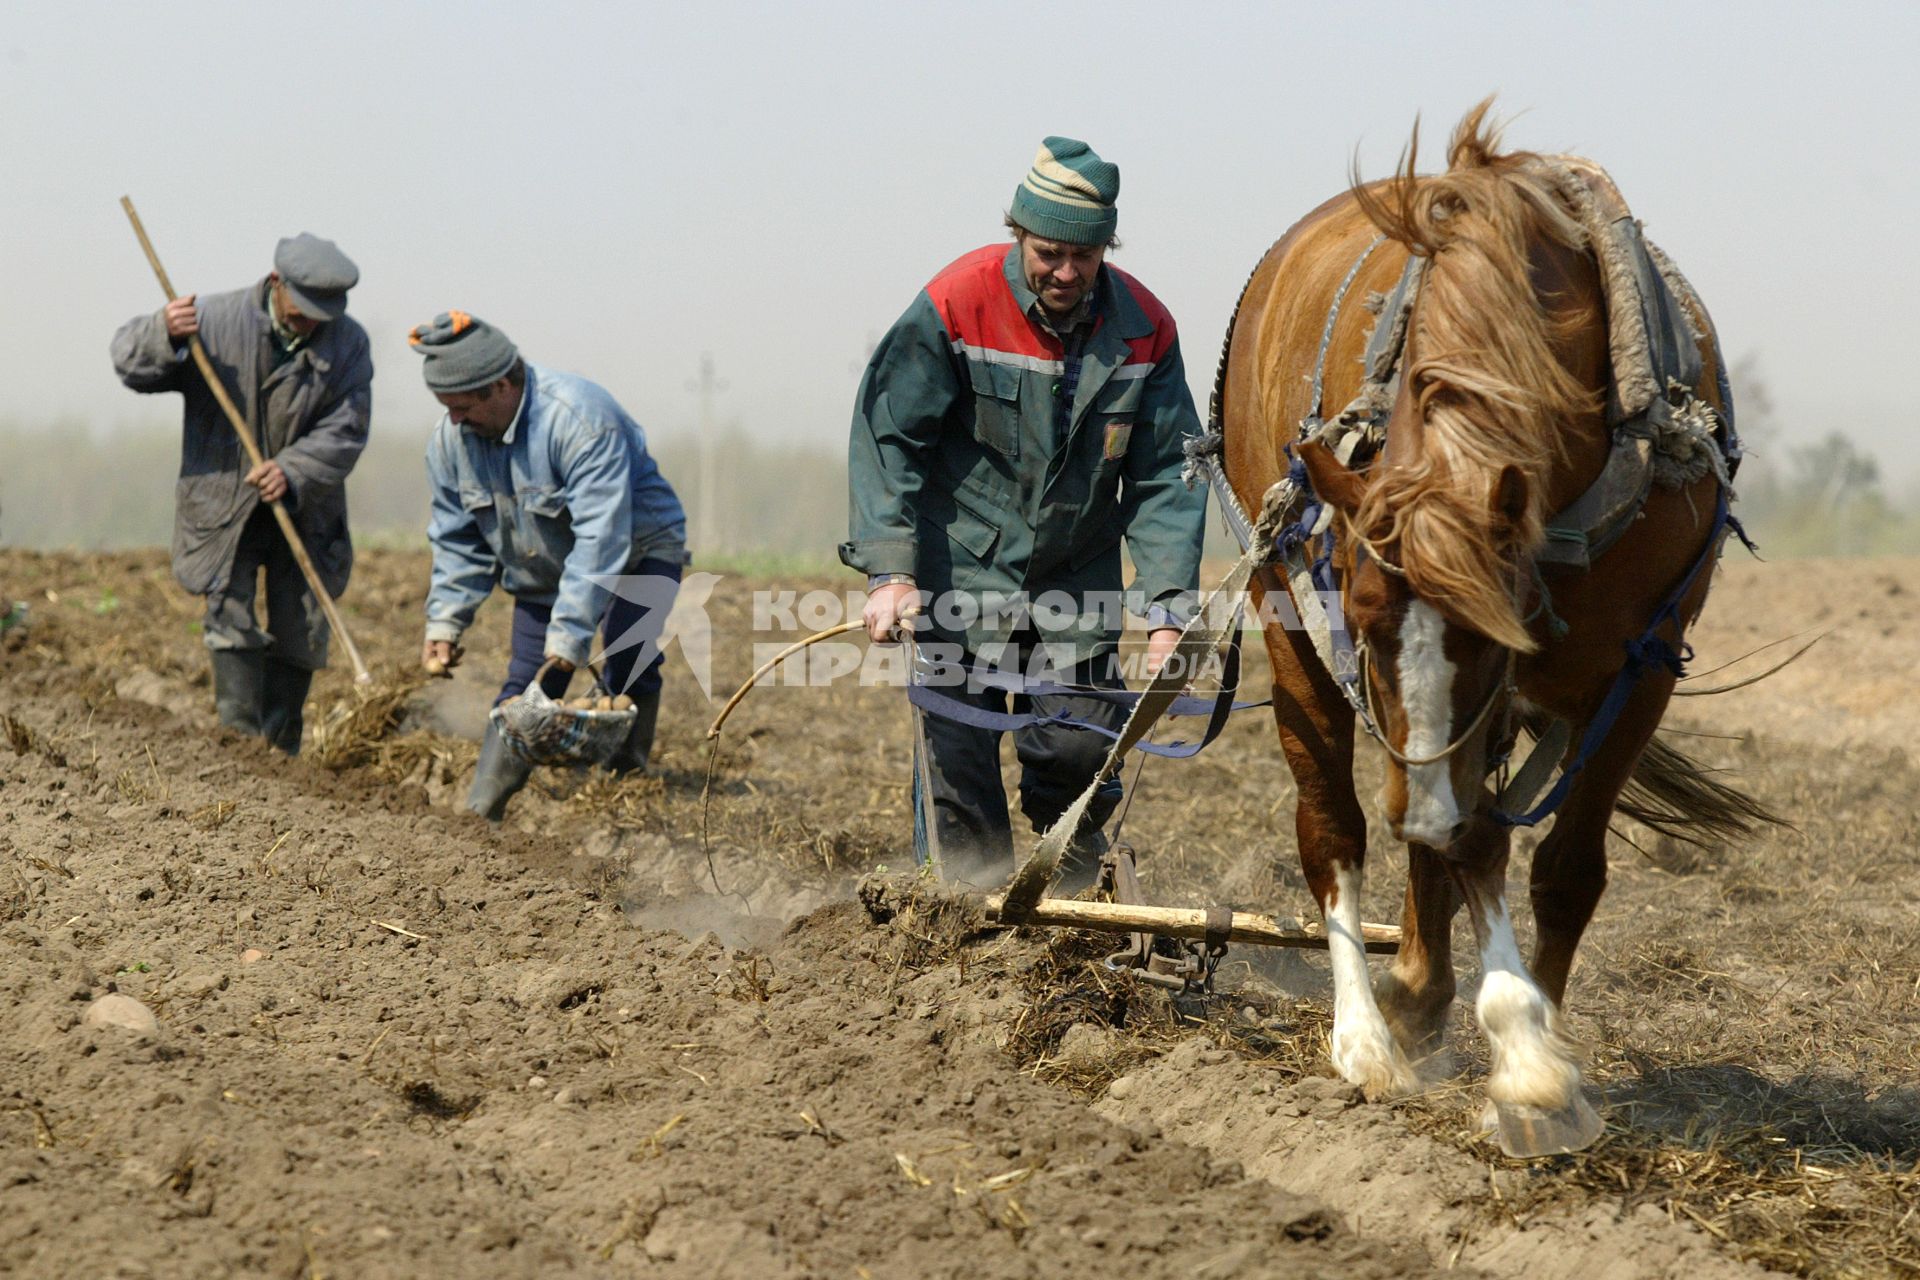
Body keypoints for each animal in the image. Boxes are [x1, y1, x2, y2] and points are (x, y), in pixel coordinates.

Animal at [1221, 105, 1758, 1159]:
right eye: (1359, 613)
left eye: (1496, 633)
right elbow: (1470, 840)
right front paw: (1522, 1055)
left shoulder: (1638, 670)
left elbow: (1562, 868)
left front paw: (1535, 1066)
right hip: (1286, 614)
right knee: (1334, 823)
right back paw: (1366, 1037)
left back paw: (1421, 993)